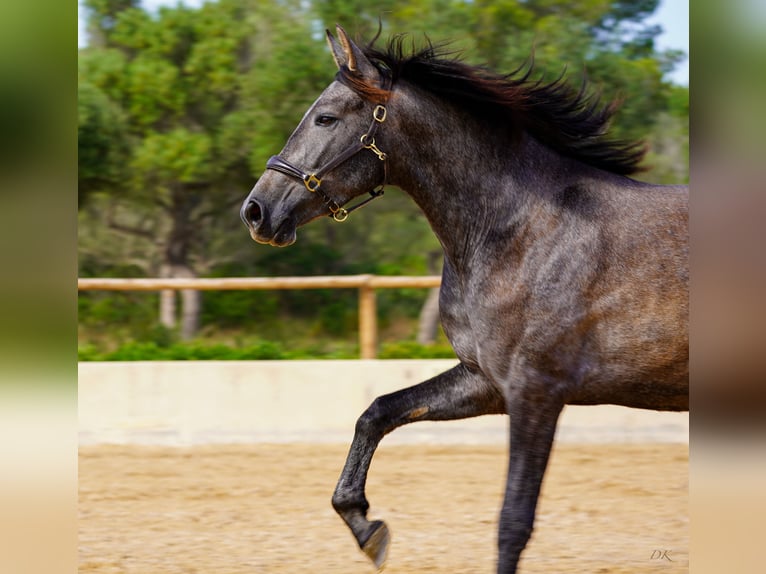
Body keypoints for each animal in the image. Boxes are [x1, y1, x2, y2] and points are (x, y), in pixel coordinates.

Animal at [240, 24, 688, 572]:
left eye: (325, 117)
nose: (256, 212)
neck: (518, 228)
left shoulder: (537, 391)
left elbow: (513, 522)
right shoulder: (486, 382)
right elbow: (378, 411)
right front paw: (367, 528)